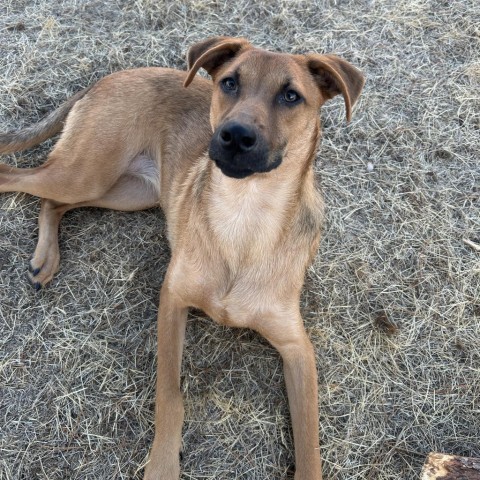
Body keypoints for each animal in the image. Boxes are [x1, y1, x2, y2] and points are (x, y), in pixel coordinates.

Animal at [0, 36, 364, 476]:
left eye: (291, 96)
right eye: (229, 83)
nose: (235, 135)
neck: (243, 216)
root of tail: (109, 77)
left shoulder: (297, 348)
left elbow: (309, 444)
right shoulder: (172, 299)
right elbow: (169, 396)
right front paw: (162, 465)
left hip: (128, 191)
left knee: (52, 202)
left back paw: (46, 259)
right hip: (86, 172)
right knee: (14, 178)